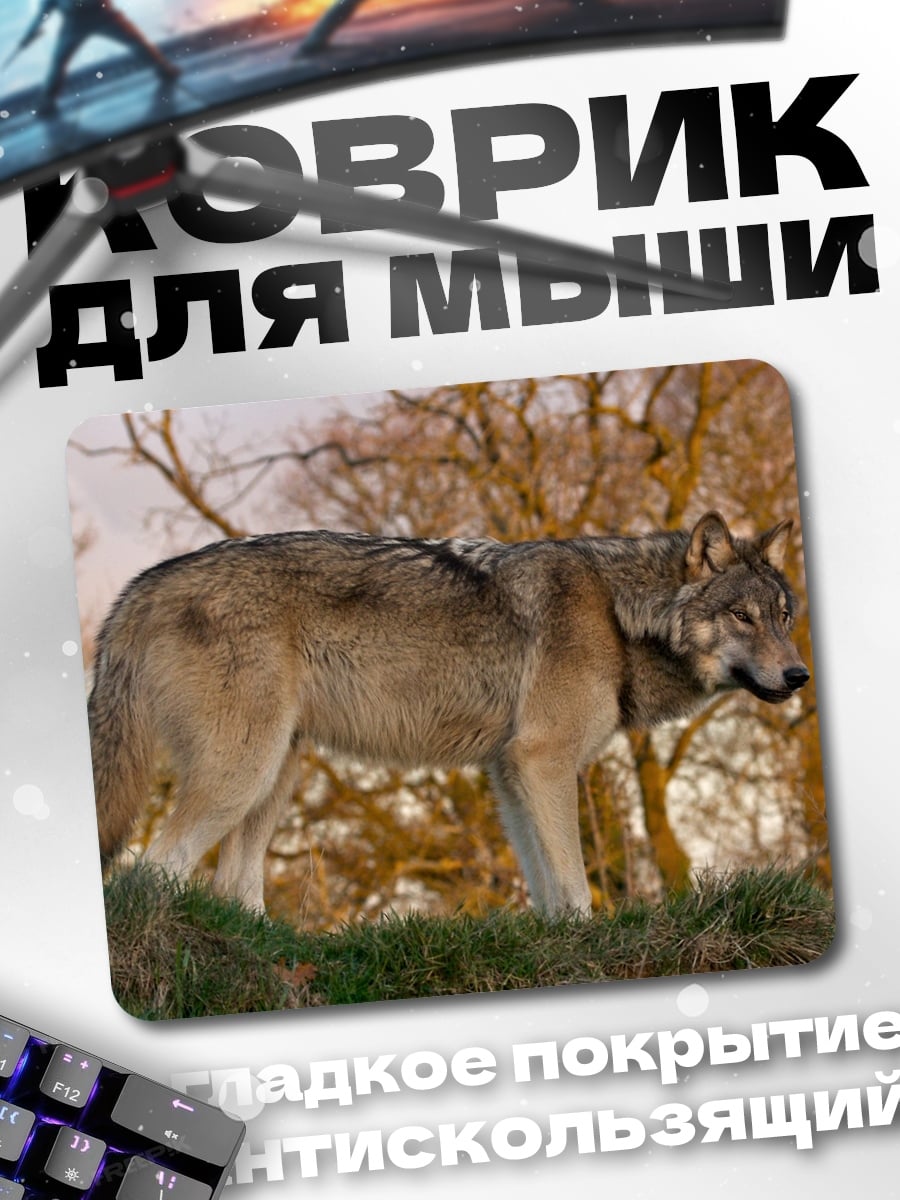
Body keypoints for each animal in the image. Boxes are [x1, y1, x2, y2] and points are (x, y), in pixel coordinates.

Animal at [89, 510, 809, 917]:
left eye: (782, 616)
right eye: (741, 616)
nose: (799, 676)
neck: (618, 613)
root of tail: (143, 583)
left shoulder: (510, 773)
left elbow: (545, 885)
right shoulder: (542, 761)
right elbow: (575, 885)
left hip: (276, 773)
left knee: (230, 886)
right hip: (242, 772)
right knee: (153, 870)